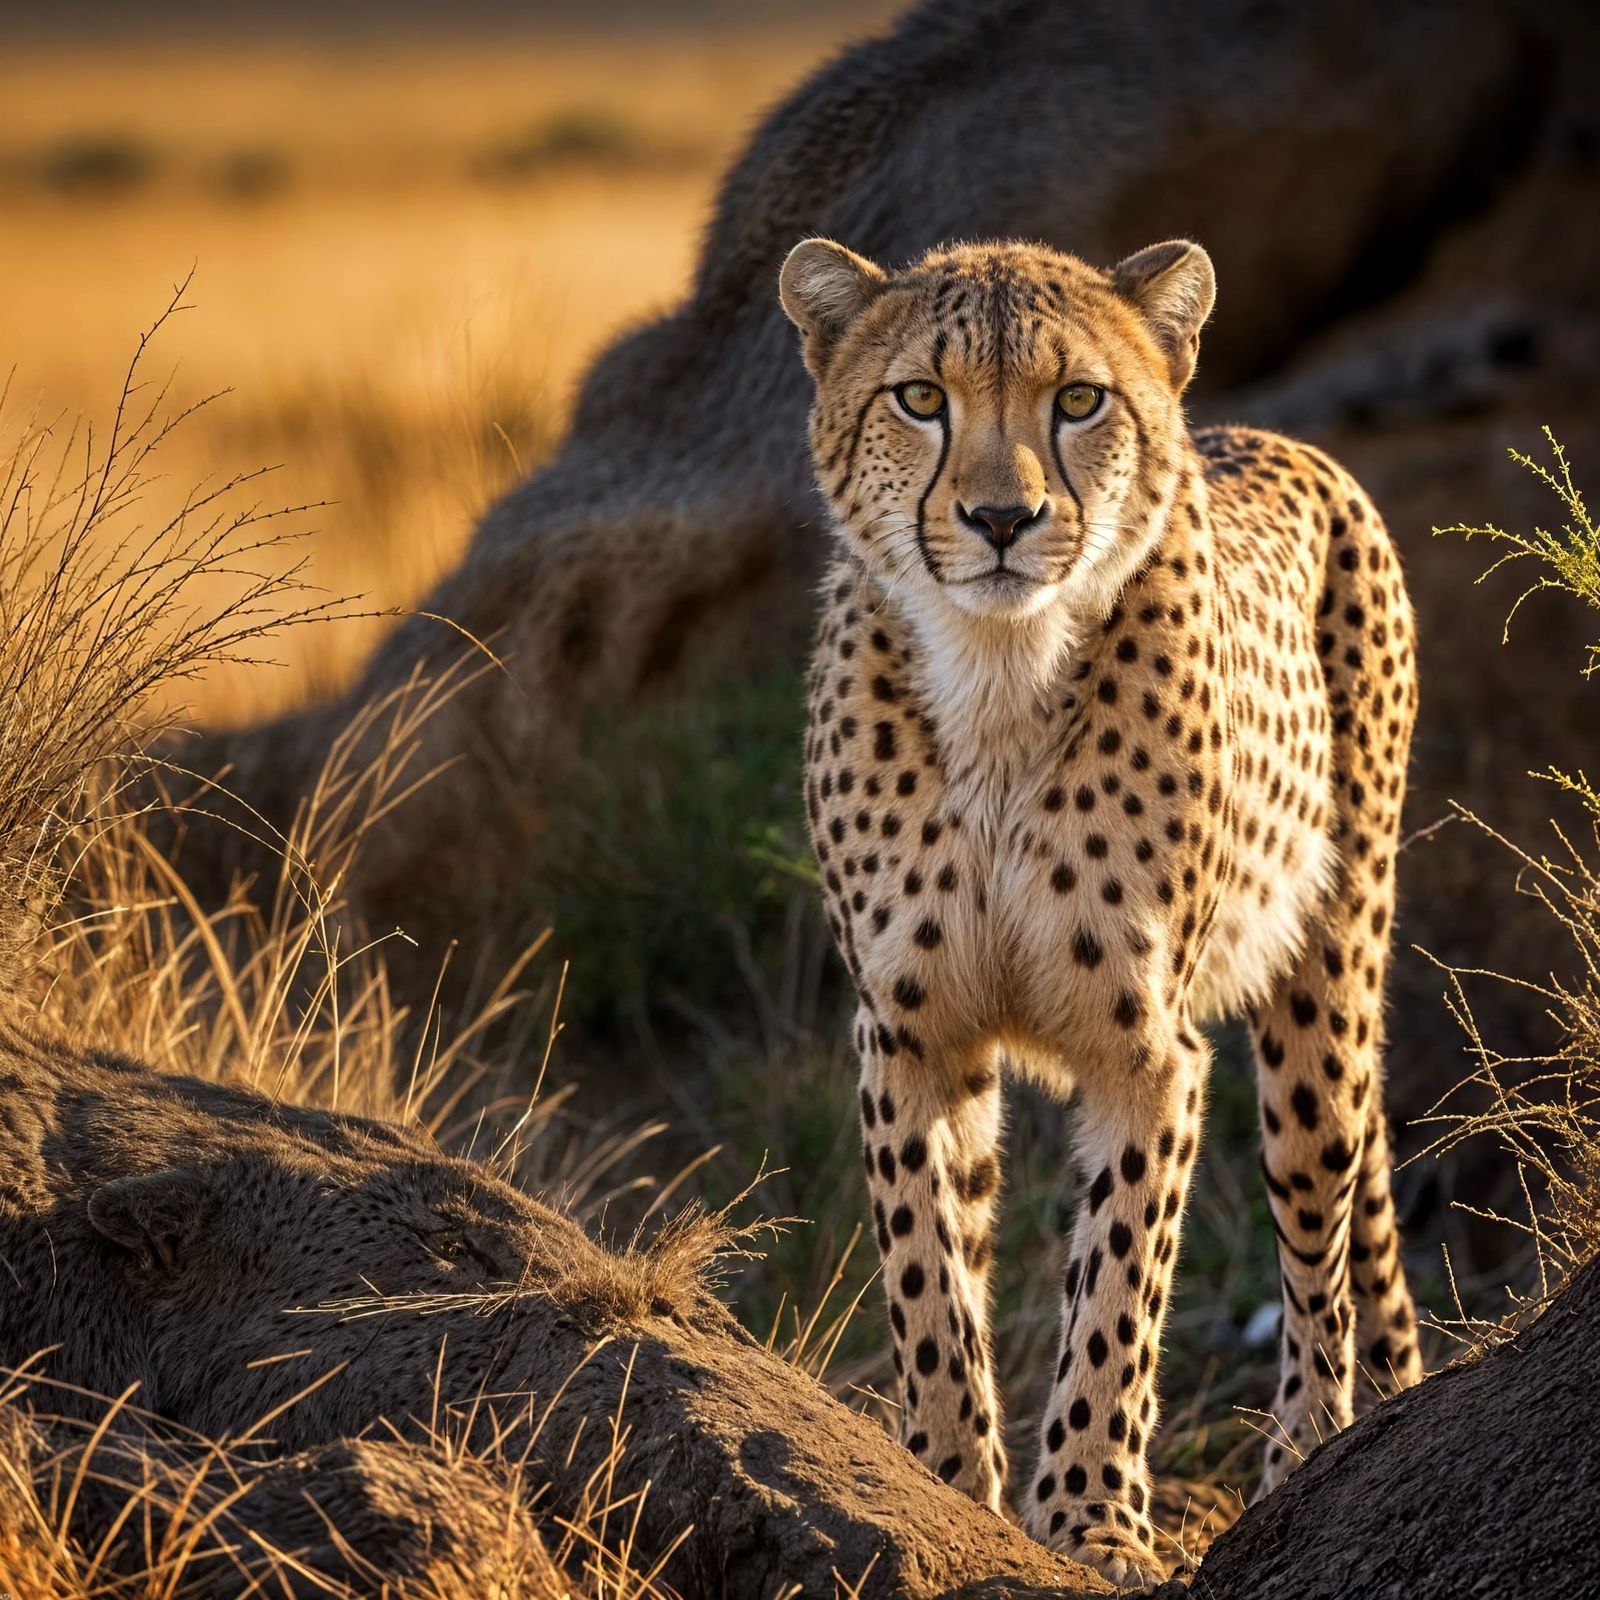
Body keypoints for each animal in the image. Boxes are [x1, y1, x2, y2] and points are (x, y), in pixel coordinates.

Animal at [779, 233, 1425, 1586]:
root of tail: (1264, 435)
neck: (996, 675)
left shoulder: (1150, 1050)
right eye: (920, 397)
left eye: (1077, 400)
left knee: (1321, 1235)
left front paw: (1091, 1516)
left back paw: (1310, 1457)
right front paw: (943, 1478)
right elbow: (928, 1269)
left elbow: (1119, 1282)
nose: (1001, 518)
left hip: (1328, 999)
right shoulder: (906, 1034)